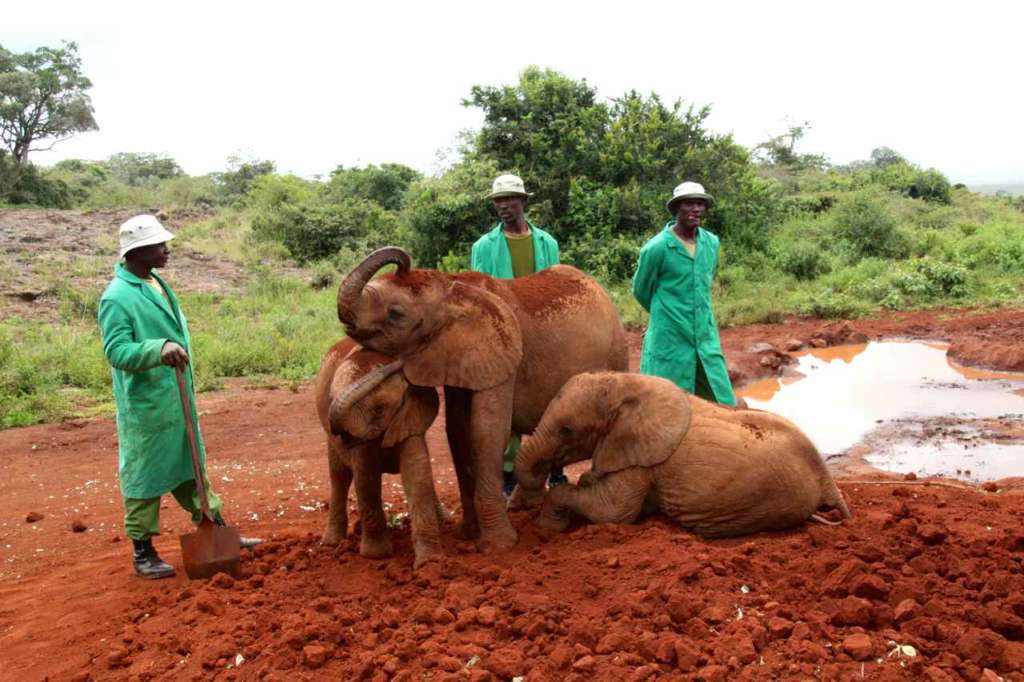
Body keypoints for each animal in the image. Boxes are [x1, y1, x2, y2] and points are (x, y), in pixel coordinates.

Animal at [314, 337, 444, 567]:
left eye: (380, 409)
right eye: (330, 399)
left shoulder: (408, 415)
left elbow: (417, 472)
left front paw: (430, 563)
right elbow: (366, 477)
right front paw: (377, 555)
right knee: (339, 476)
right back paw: (331, 544)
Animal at [335, 247, 628, 550]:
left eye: (396, 314)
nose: (403, 260)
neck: (450, 287)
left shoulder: (502, 352)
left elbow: (487, 431)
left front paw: (498, 546)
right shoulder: (458, 356)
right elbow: (458, 430)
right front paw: (468, 534)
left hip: (616, 351)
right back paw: (523, 504)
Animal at [515, 372, 851, 538]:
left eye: (567, 430)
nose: (549, 473)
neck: (626, 383)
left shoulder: (644, 459)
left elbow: (613, 513)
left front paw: (548, 527)